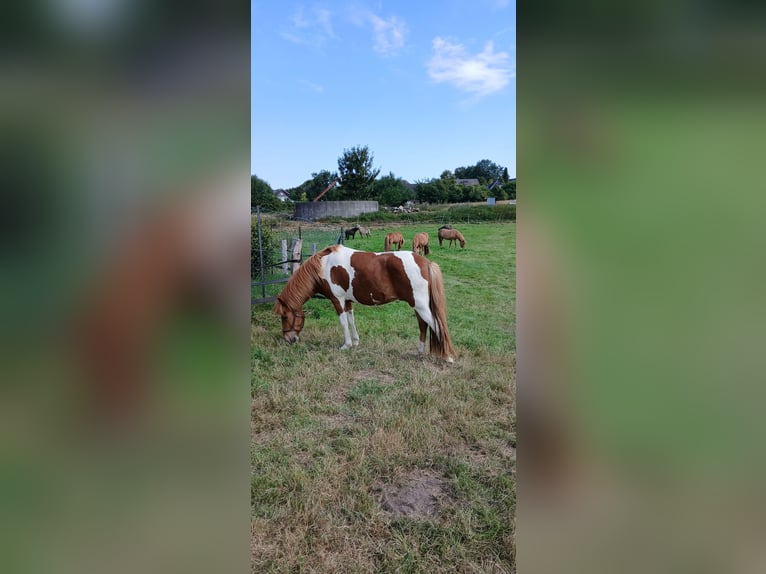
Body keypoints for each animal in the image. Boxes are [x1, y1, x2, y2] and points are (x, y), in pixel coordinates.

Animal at [273, 244, 456, 362]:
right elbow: (351, 320)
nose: (288, 339)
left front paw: (346, 345)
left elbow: (343, 322)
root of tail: (425, 263)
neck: (323, 266)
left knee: (437, 325)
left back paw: (447, 357)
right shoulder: (348, 301)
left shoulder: (338, 300)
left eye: (284, 317)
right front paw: (355, 342)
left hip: (421, 306)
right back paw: (419, 353)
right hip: (417, 306)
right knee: (423, 326)